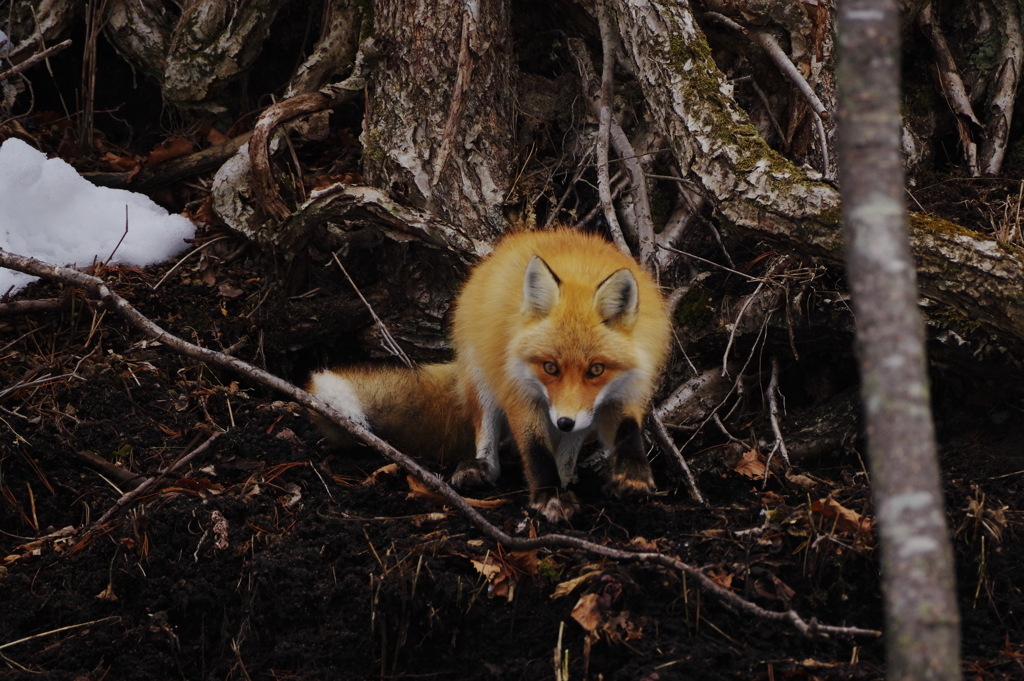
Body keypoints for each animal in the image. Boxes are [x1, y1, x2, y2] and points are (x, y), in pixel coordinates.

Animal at [303, 228, 671, 520]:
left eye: (596, 370)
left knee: (568, 449)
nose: (565, 421)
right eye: (549, 367)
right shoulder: (519, 392)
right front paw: (548, 496)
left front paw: (633, 473)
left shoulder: (618, 395)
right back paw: (482, 469)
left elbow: (627, 430)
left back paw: (568, 477)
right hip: (482, 379)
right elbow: (535, 450)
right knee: (488, 438)